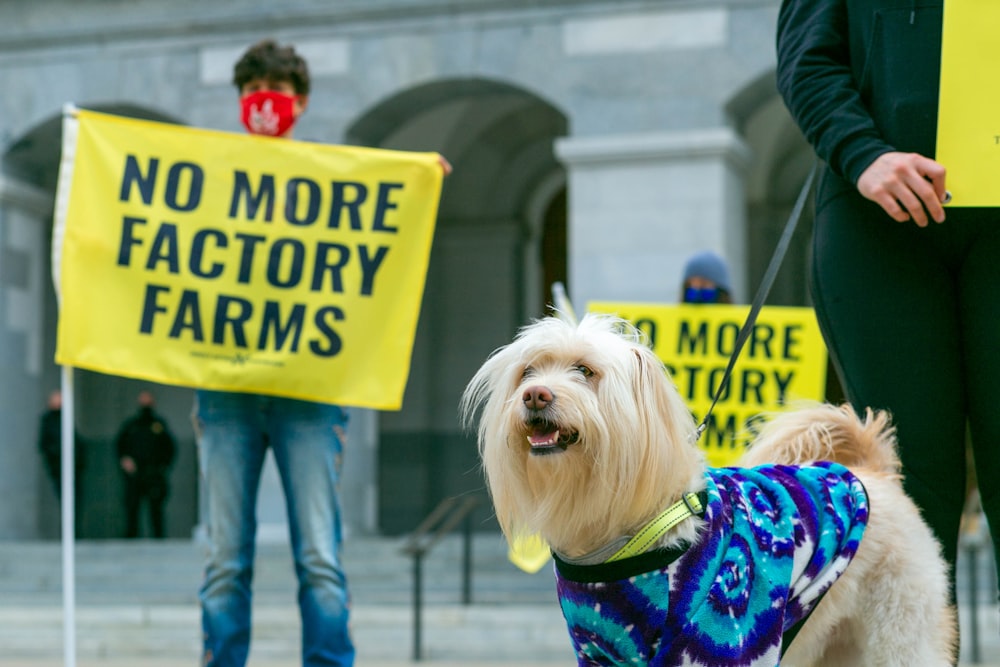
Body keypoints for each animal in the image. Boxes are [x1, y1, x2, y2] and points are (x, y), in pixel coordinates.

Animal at [464, 314, 956, 667]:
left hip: (899, 634)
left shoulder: (716, 643)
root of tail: (871, 471)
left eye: (585, 371)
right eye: (528, 371)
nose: (535, 395)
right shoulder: (601, 652)